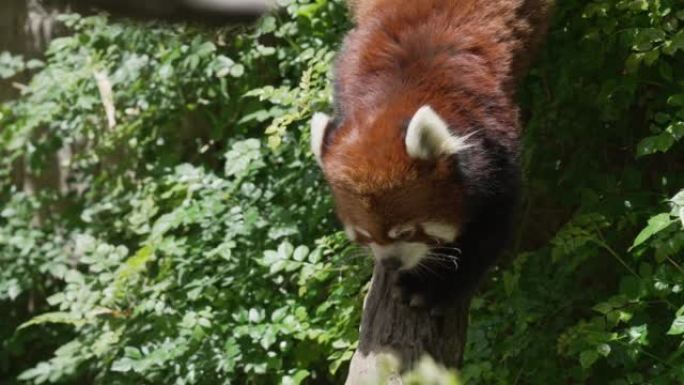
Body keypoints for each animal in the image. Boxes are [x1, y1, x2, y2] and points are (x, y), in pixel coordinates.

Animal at [310, 0, 552, 306]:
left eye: (406, 231)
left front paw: (430, 285)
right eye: (364, 235)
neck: (397, 92)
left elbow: (488, 228)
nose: (390, 263)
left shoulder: (492, 136)